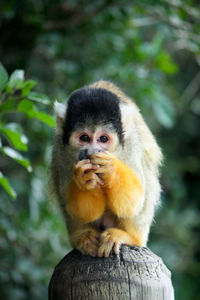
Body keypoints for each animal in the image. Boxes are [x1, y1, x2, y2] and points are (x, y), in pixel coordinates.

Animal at [50, 80, 162, 258]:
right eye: (84, 138)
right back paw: (82, 237)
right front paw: (84, 178)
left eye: (103, 139)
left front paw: (111, 169)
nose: (91, 151)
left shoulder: (131, 142)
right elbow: (82, 210)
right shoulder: (61, 149)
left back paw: (131, 238)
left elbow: (134, 202)